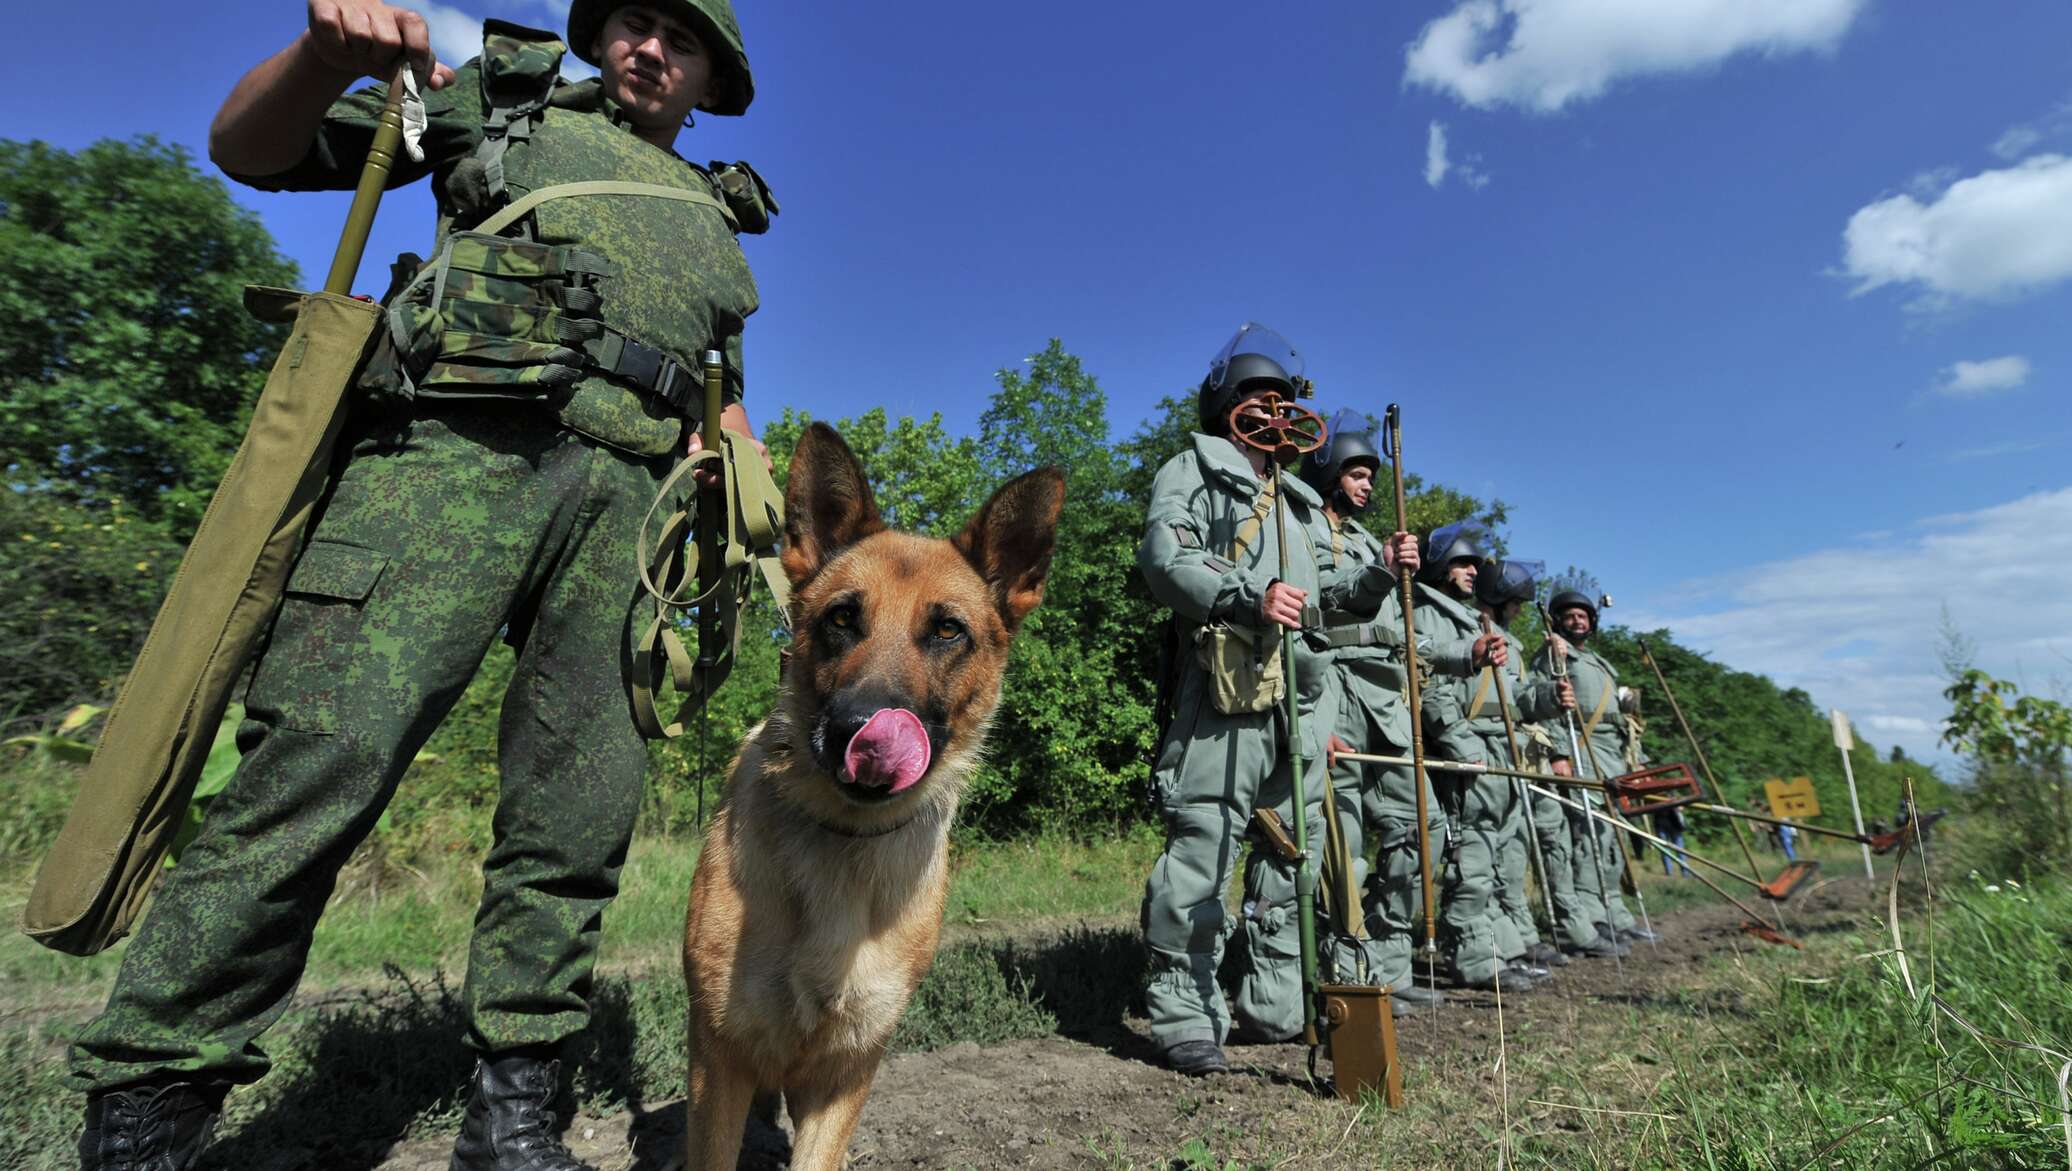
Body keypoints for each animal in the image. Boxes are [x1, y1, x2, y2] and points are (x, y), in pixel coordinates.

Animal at [683, 424, 1060, 1168]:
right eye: (841, 619)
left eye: (947, 630)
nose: (858, 731)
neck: (845, 839)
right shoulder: (720, 1064)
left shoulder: (845, 1073)